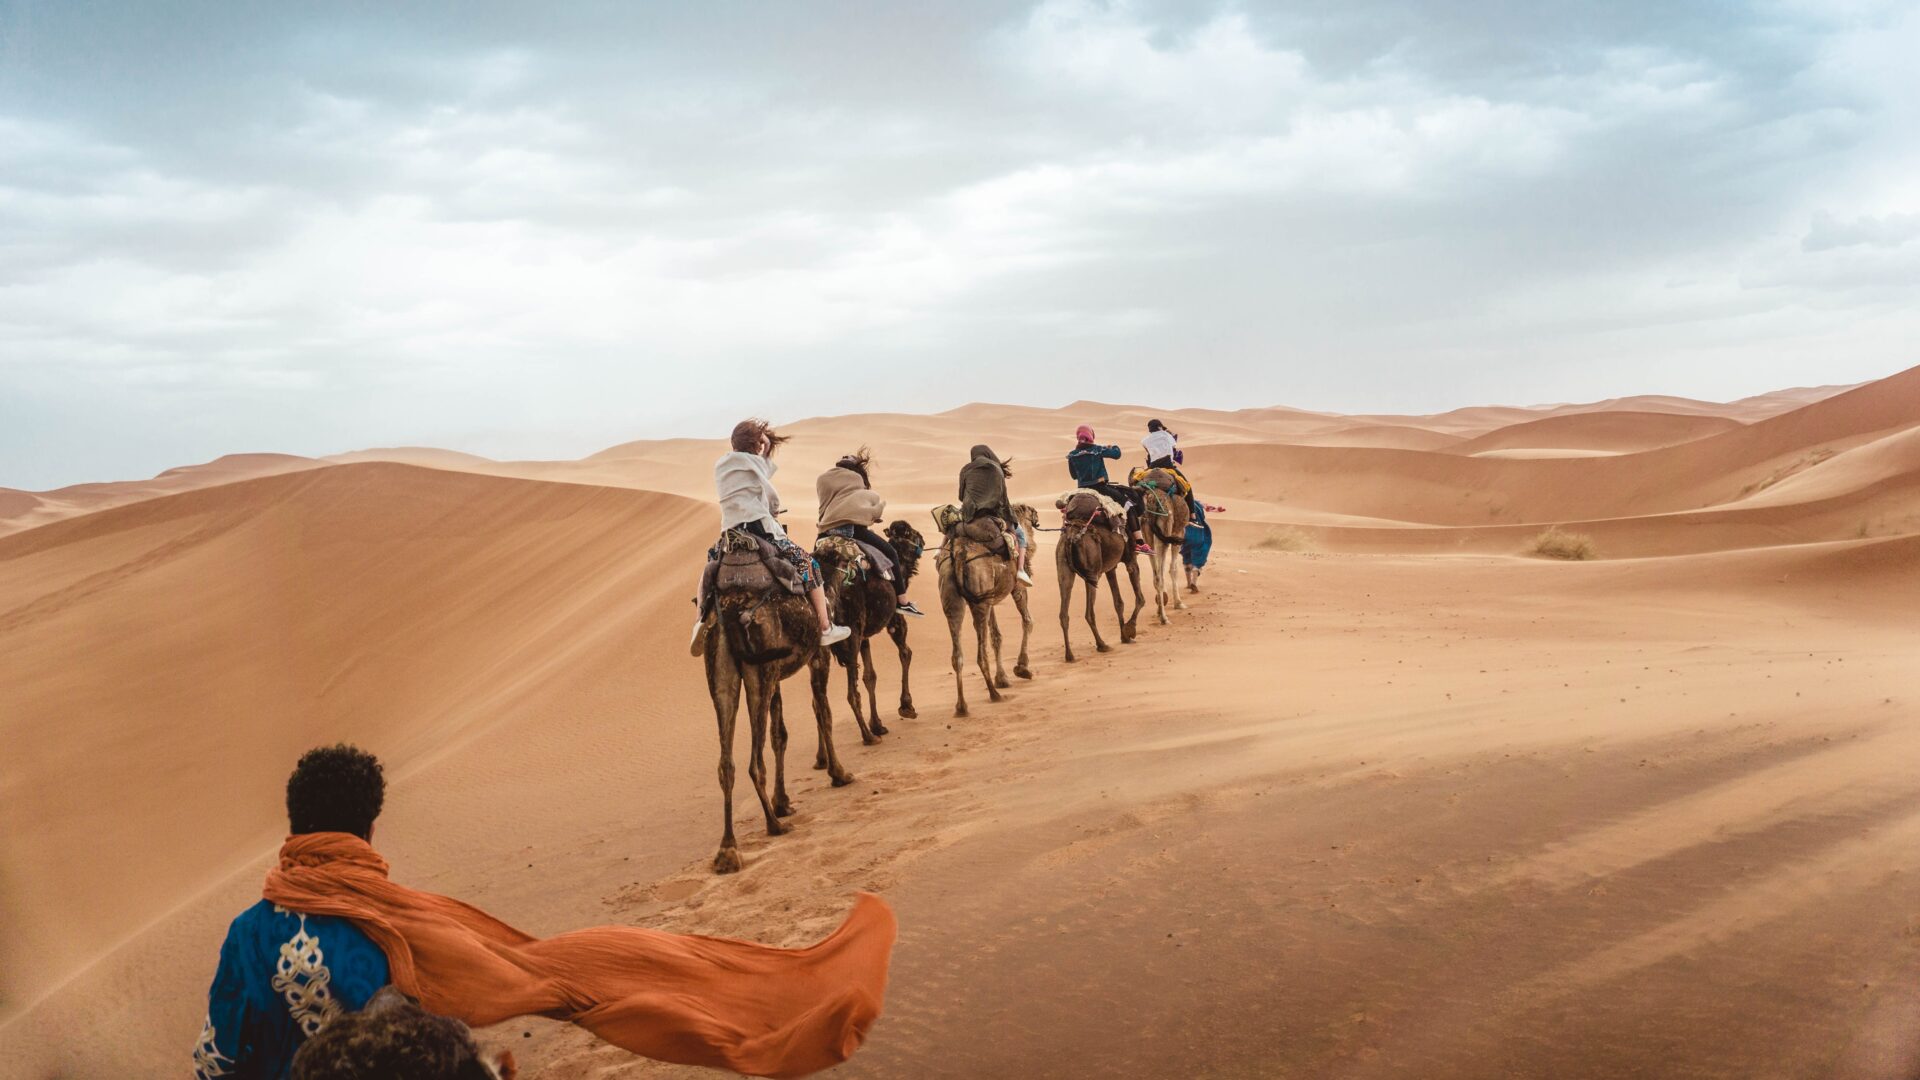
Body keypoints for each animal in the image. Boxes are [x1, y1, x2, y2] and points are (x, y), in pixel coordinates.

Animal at [702, 534, 852, 868]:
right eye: (848, 548)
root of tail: (731, 611)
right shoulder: (818, 656)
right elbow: (824, 713)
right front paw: (839, 773)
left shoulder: (777, 678)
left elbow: (779, 735)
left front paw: (782, 801)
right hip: (759, 673)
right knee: (753, 762)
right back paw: (773, 825)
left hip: (723, 671)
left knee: (726, 763)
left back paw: (728, 850)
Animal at [810, 515, 929, 749]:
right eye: (910, 532)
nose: (923, 538)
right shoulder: (894, 619)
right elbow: (906, 653)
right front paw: (906, 707)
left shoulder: (864, 635)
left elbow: (870, 676)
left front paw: (878, 724)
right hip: (851, 635)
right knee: (851, 694)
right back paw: (868, 737)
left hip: (822, 648)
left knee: (818, 700)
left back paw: (822, 754)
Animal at [933, 503, 1036, 714]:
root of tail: (959, 554)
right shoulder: (1017, 588)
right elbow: (1027, 621)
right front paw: (1022, 668)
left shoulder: (990, 598)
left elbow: (996, 636)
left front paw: (1002, 678)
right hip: (980, 602)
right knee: (980, 654)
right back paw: (994, 695)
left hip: (957, 599)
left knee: (957, 654)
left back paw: (961, 706)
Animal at [1052, 488, 1136, 657]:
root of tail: (1072, 535)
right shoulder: (1131, 560)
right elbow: (1140, 598)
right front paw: (1130, 630)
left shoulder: (1110, 568)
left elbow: (1118, 602)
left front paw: (1124, 636)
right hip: (1092, 573)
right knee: (1089, 613)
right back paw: (1102, 645)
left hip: (1064, 570)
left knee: (1064, 613)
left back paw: (1069, 655)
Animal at [1128, 466, 1190, 626]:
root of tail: (1150, 500)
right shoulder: (1178, 533)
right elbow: (1173, 569)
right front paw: (1178, 603)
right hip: (1164, 533)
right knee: (1160, 576)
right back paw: (1164, 618)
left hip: (1146, 535)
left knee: (1156, 577)